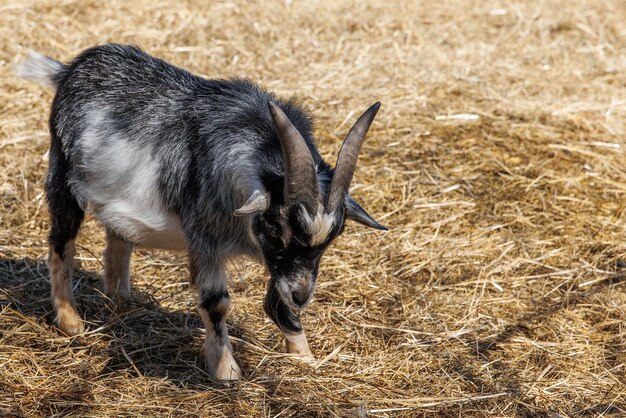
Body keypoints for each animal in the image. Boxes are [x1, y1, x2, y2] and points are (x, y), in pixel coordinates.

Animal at [15, 44, 386, 380]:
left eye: (335, 235)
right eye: (276, 227)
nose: (302, 296)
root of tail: (68, 70)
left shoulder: (279, 263)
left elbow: (279, 300)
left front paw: (304, 357)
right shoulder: (204, 237)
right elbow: (216, 302)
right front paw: (226, 371)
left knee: (117, 240)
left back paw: (123, 302)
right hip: (63, 176)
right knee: (60, 243)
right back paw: (71, 321)